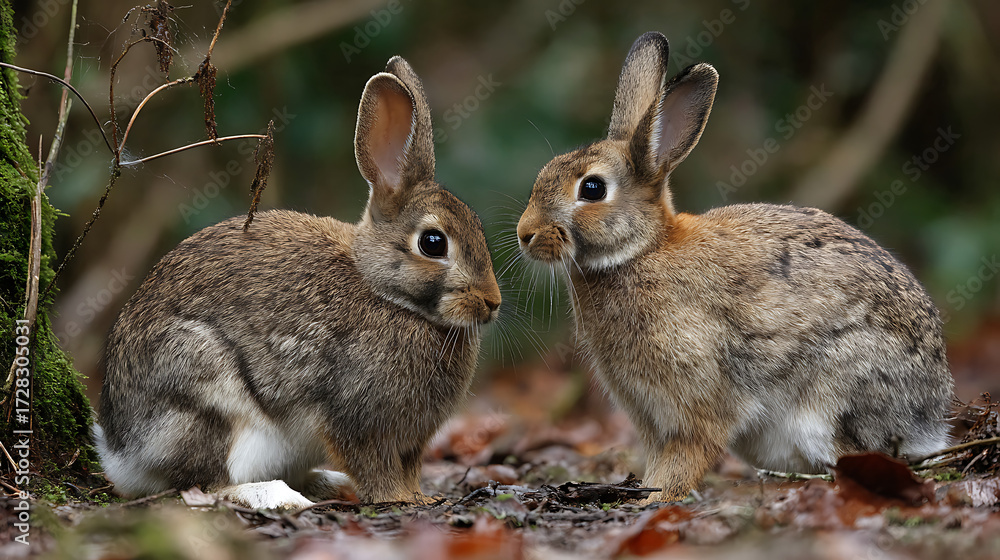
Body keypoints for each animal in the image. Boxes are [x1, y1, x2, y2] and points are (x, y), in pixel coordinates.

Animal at [94, 56, 502, 509]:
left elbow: (408, 466)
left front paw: (421, 496)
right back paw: (277, 497)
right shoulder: (355, 417)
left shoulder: (411, 439)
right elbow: (372, 465)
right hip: (205, 397)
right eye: (433, 243)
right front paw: (399, 499)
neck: (387, 294)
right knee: (203, 484)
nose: (492, 302)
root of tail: (119, 452)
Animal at [516, 31, 953, 502]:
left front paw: (657, 497)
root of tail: (932, 412)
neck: (641, 250)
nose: (524, 234)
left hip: (834, 396)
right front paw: (645, 491)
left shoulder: (697, 397)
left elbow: (689, 453)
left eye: (592, 189)